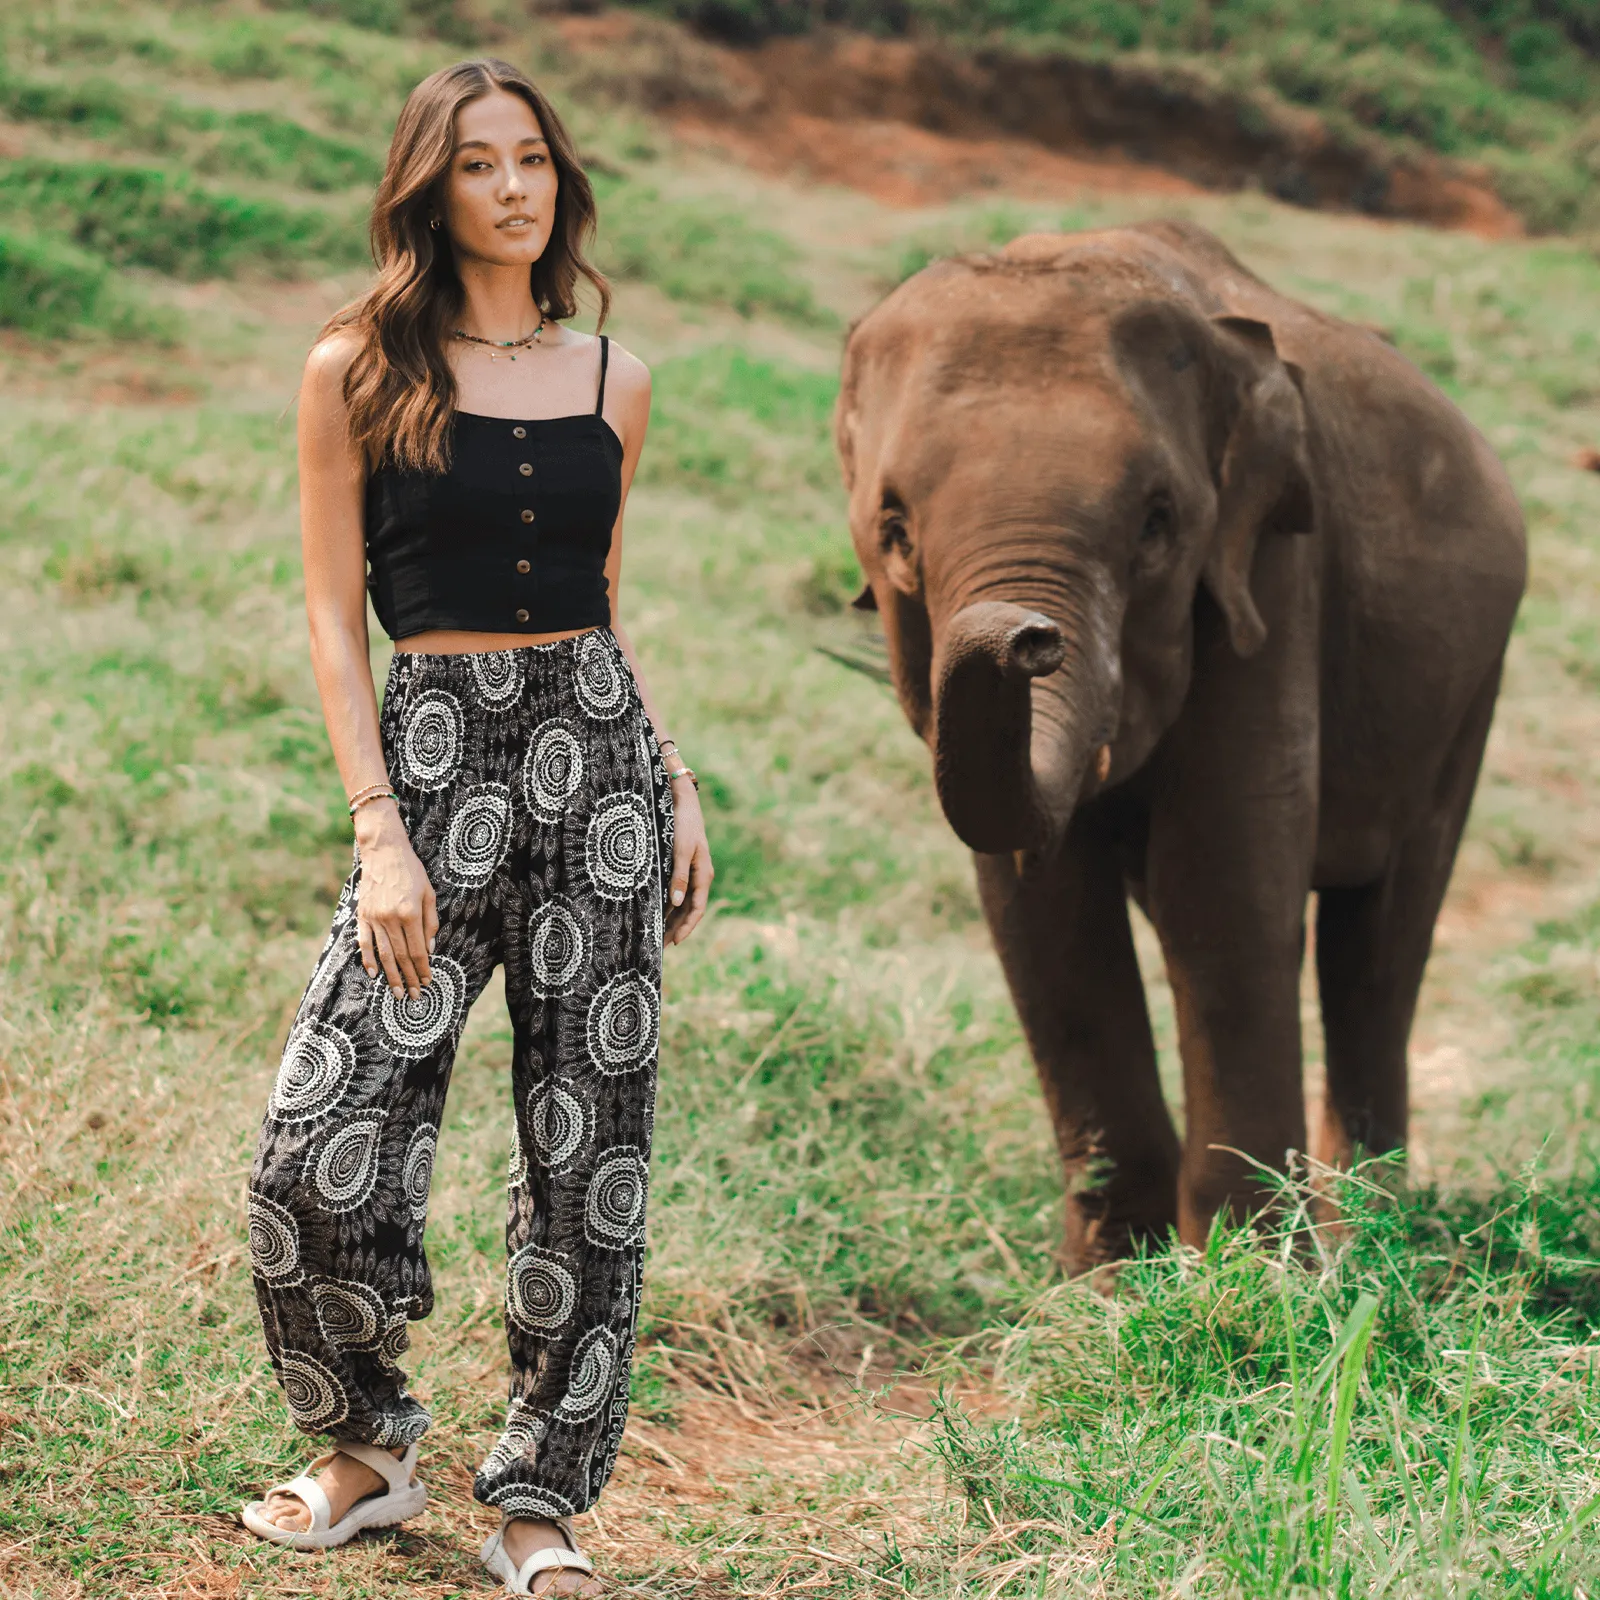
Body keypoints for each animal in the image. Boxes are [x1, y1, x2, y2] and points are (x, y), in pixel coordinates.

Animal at [838, 219, 1523, 1273]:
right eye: (896, 529)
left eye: (1158, 524)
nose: (1029, 639)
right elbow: (1040, 911)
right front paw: (1109, 1284)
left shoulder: (1271, 574)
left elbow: (1224, 880)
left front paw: (1251, 1278)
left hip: (1467, 690)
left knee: (1381, 943)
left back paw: (1365, 1240)